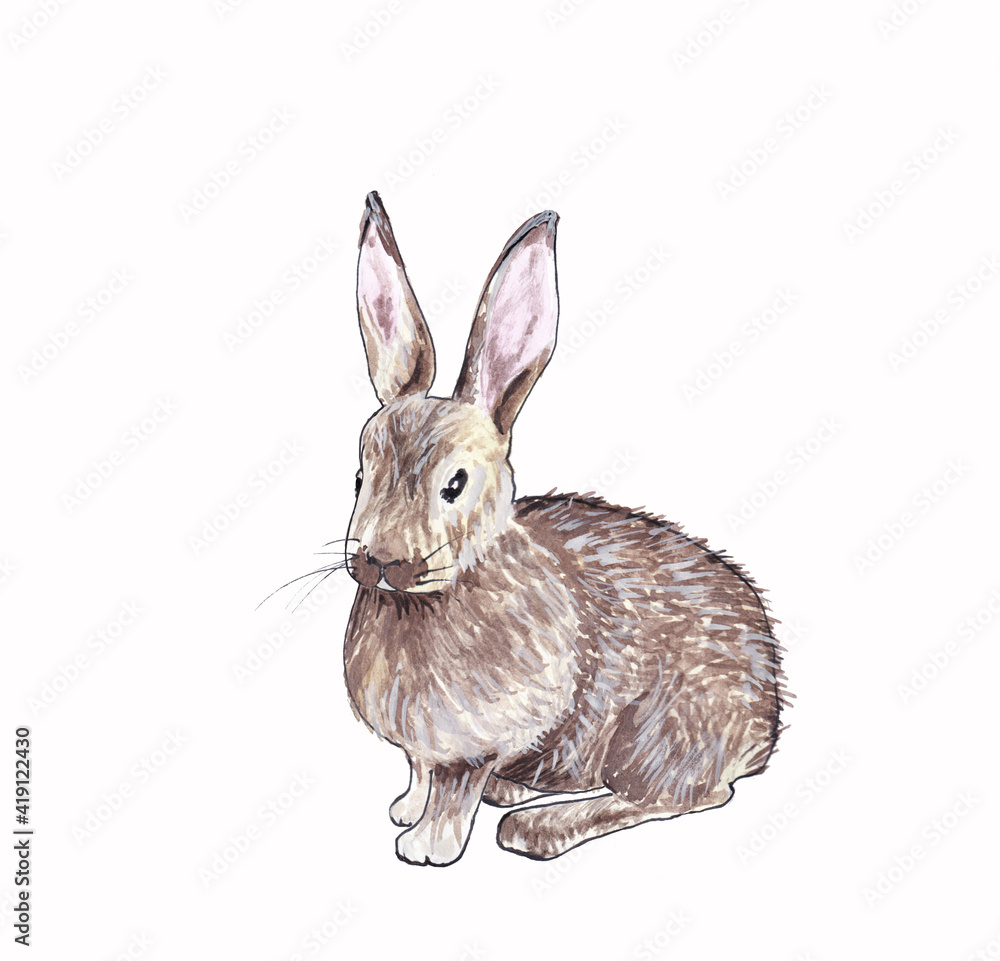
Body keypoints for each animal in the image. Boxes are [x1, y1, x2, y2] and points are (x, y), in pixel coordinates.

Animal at [341, 190, 787, 866]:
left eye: (455, 484)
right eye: (359, 477)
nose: (378, 560)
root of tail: (766, 720)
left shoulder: (478, 739)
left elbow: (453, 787)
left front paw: (426, 847)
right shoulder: (424, 749)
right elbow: (420, 772)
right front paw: (404, 812)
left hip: (655, 732)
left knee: (681, 795)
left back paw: (535, 827)